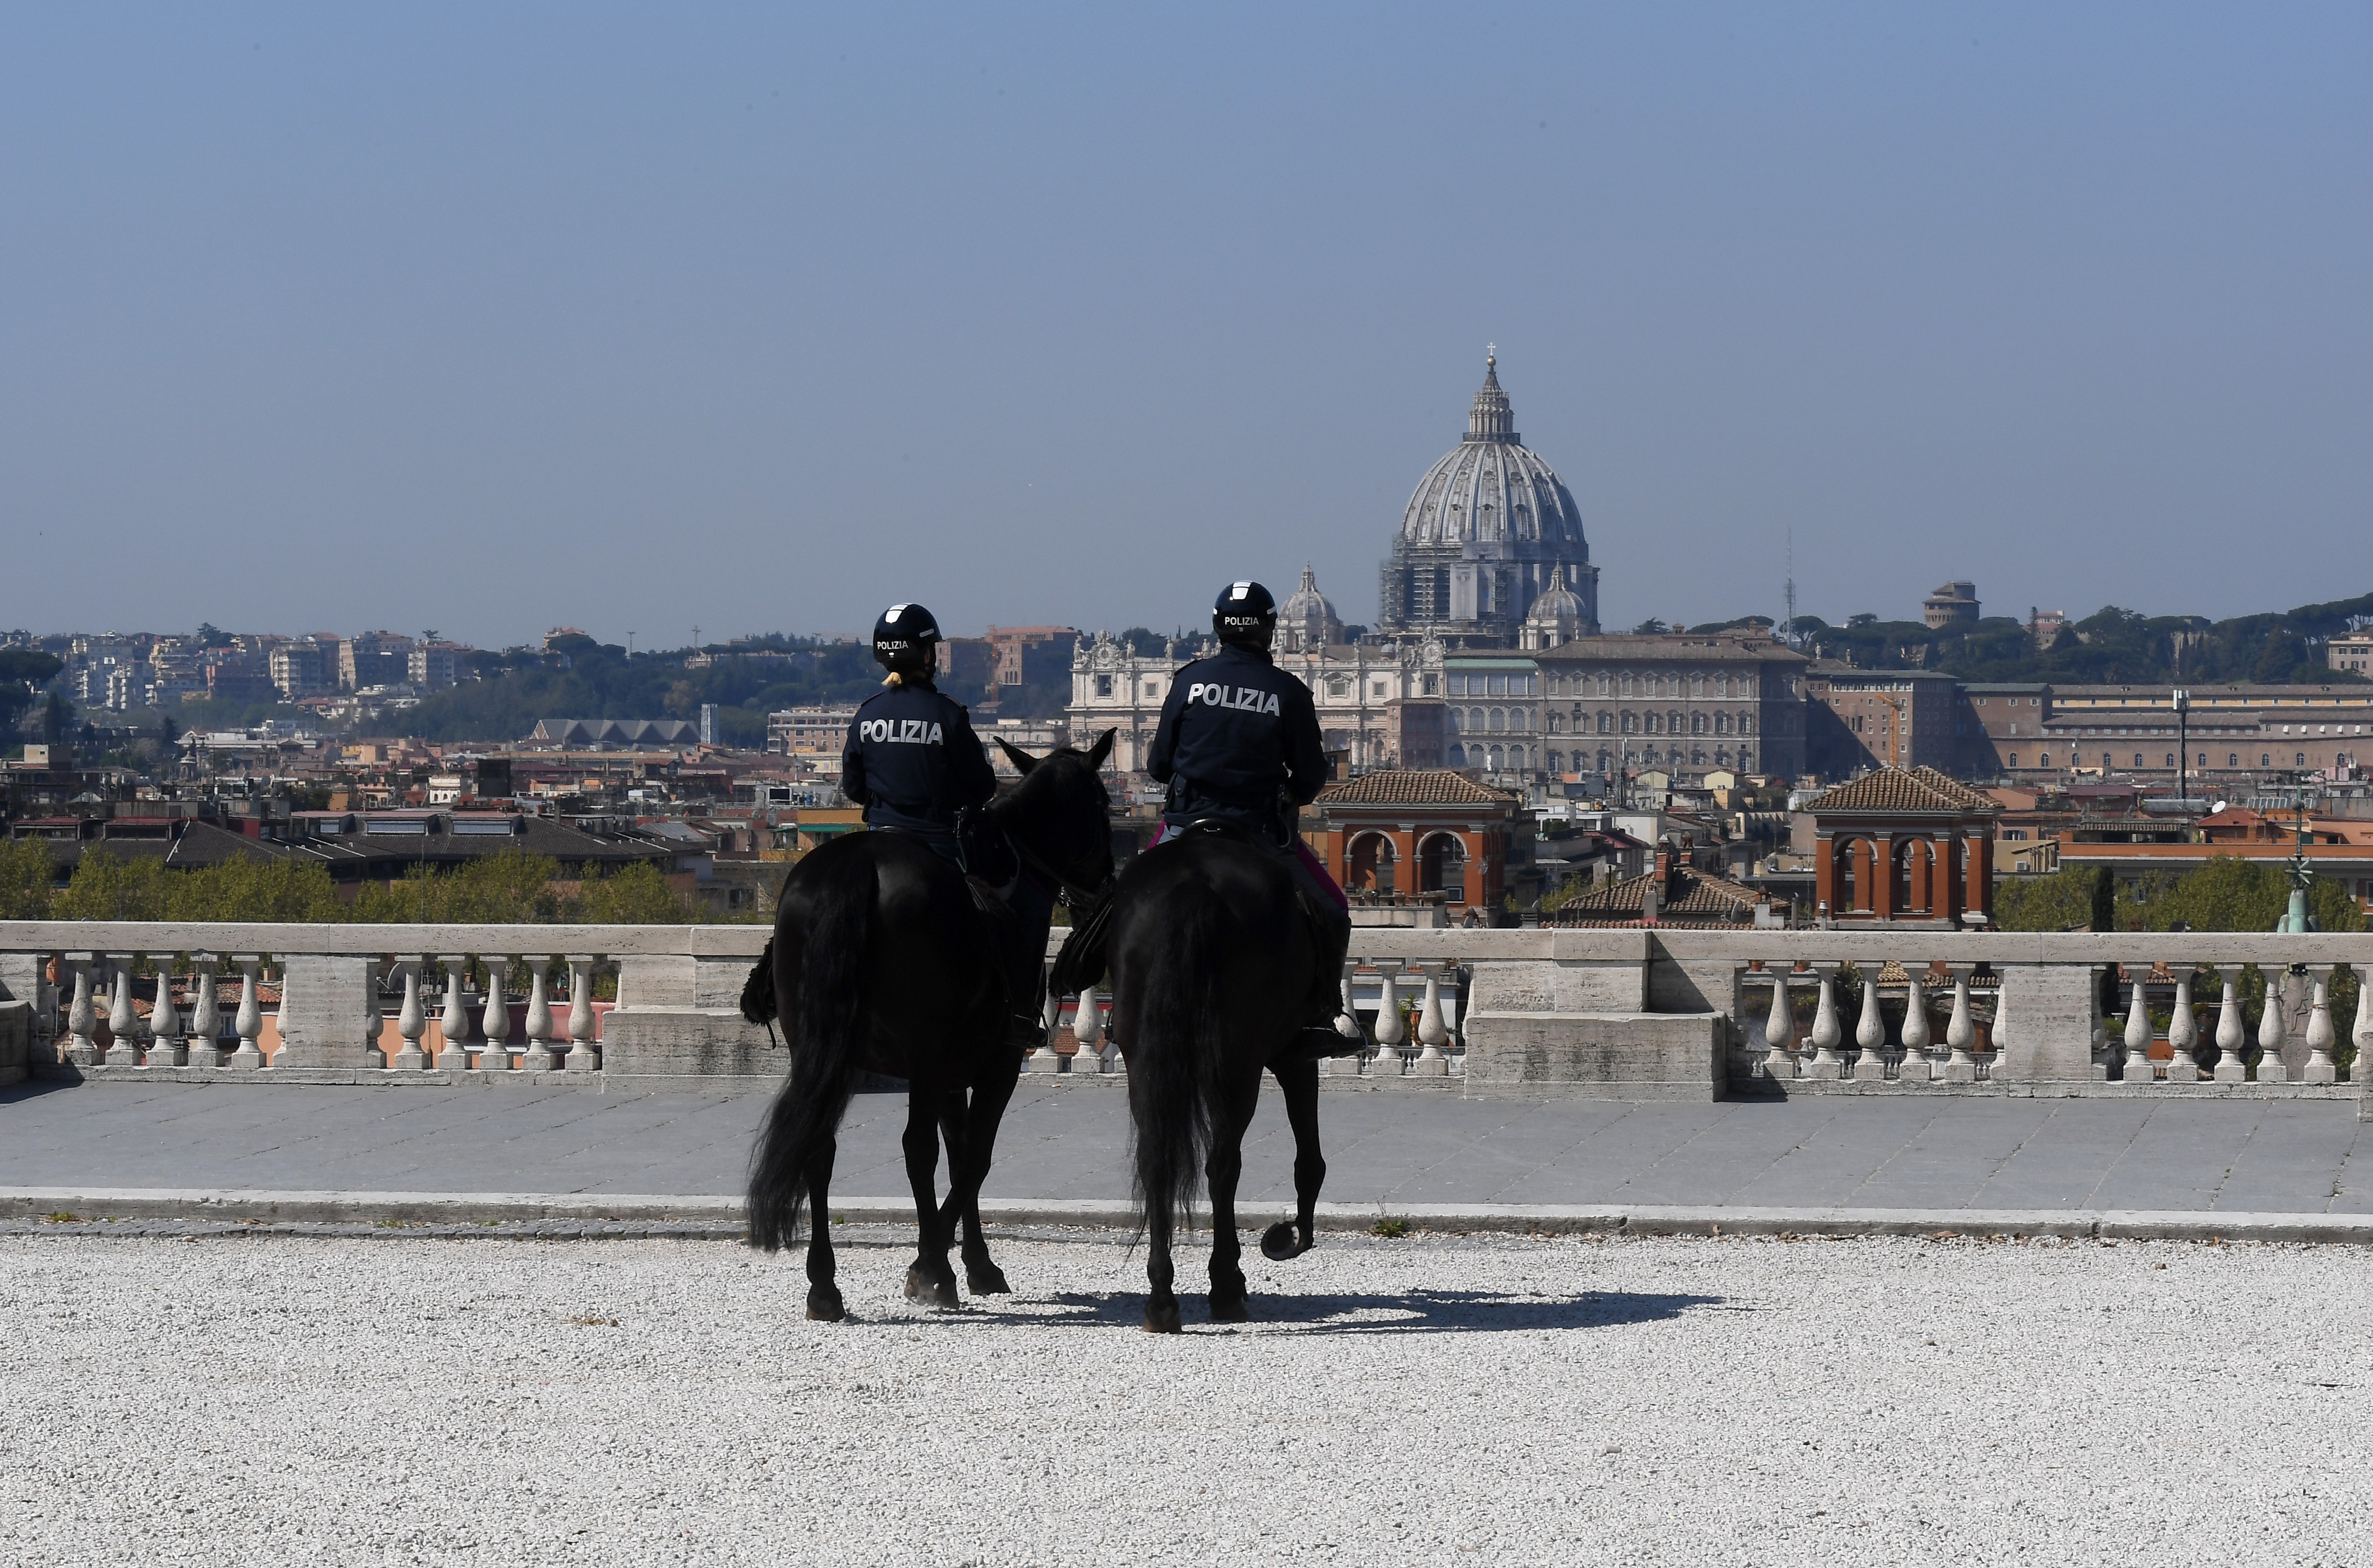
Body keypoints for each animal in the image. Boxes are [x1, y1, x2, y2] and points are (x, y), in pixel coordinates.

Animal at [745, 726, 1115, 1319]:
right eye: (1102, 804)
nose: (1105, 882)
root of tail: (858, 866)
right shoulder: (993, 1063)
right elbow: (973, 1158)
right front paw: (935, 1265)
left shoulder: (949, 1071)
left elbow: (959, 1148)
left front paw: (975, 1263)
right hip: (923, 1056)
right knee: (916, 1148)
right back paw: (920, 1270)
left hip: (824, 1052)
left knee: (820, 1147)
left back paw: (823, 1286)